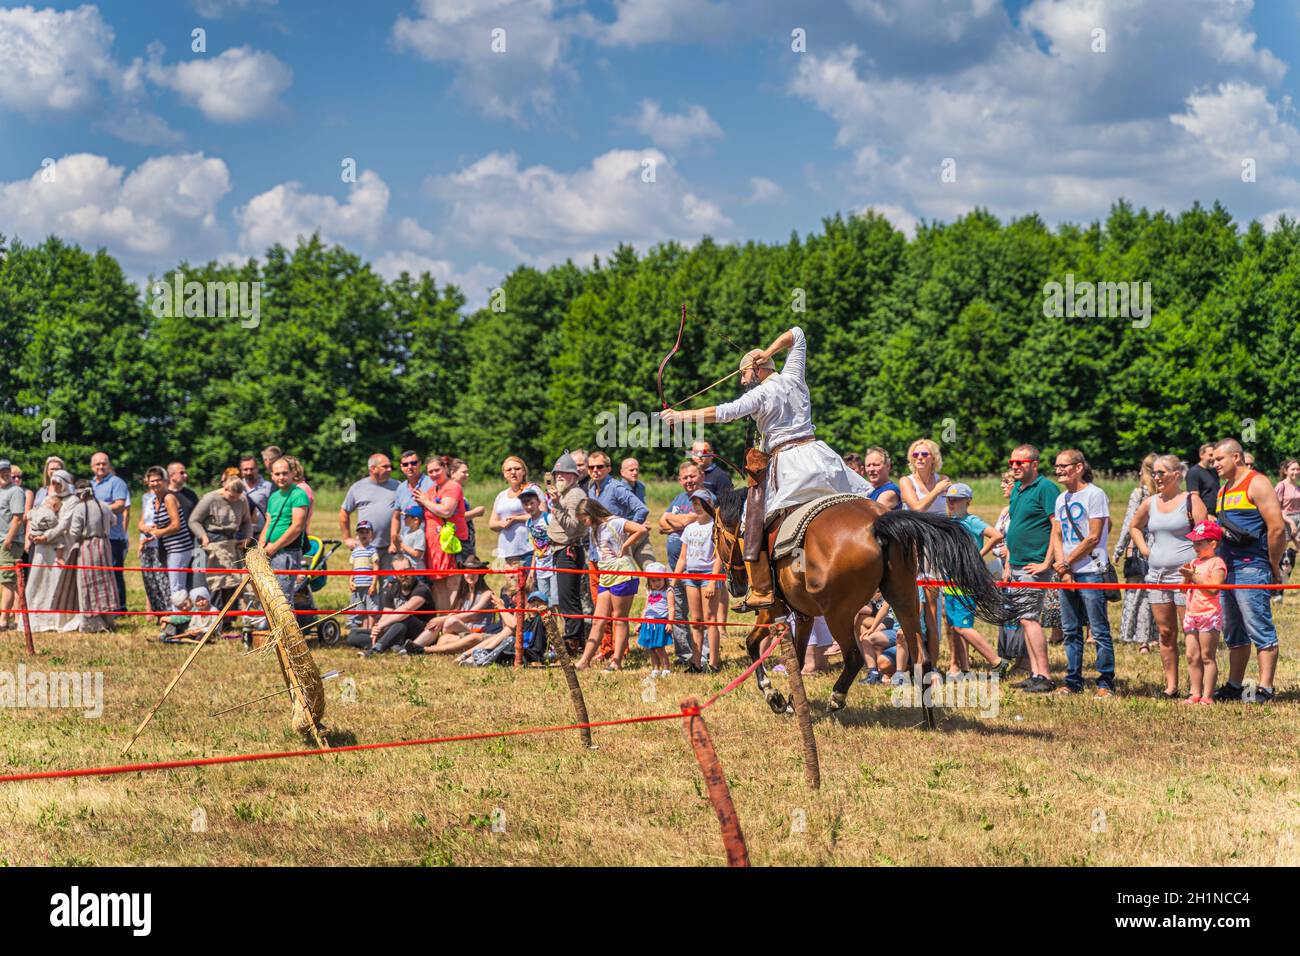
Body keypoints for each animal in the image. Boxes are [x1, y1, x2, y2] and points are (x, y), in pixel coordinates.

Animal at [712, 489, 1003, 728]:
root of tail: (876, 522)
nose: (734, 585)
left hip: (837, 614)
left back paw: (836, 698)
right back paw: (927, 720)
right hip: (904, 598)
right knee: (921, 656)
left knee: (854, 657)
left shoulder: (771, 610)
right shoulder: (804, 616)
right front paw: (792, 701)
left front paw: (774, 696)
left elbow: (753, 644)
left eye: (715, 535)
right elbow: (795, 656)